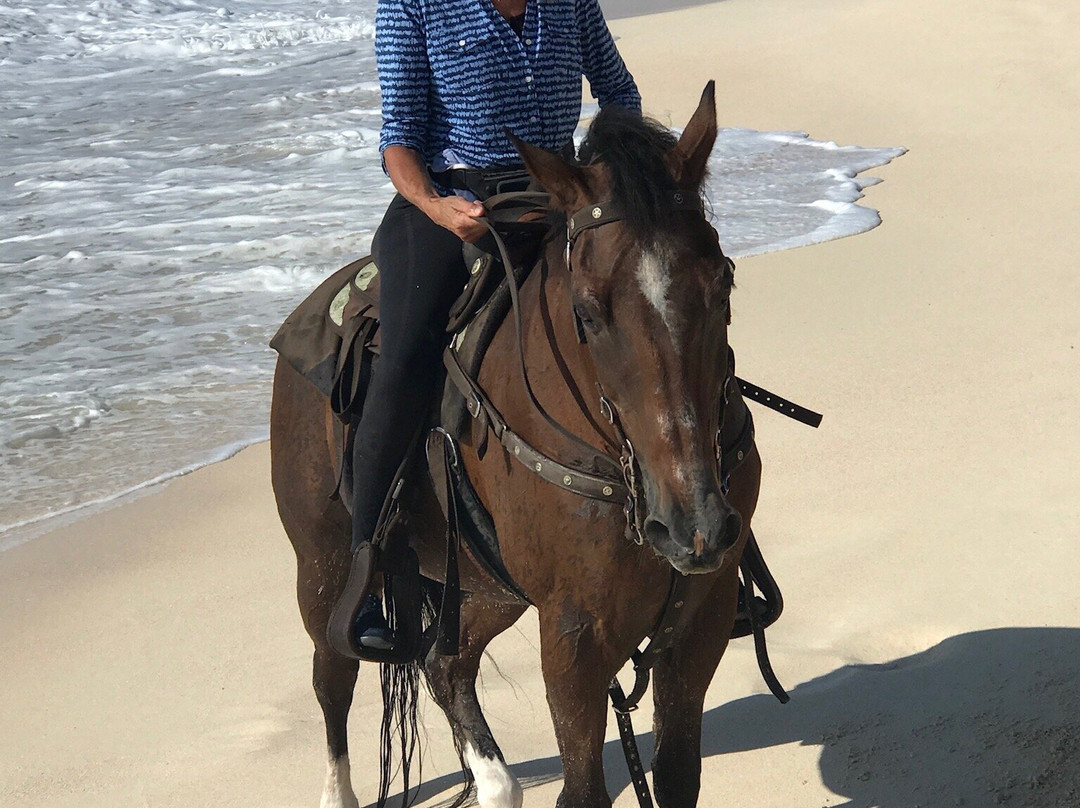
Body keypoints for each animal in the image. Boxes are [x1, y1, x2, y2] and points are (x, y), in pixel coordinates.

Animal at [270, 82, 762, 808]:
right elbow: (582, 788)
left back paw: (494, 781)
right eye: (587, 314)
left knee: (445, 663)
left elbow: (678, 776)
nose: (691, 526)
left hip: (486, 587)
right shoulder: (575, 636)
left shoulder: (702, 617)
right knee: (333, 675)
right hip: (324, 561)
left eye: (723, 282)